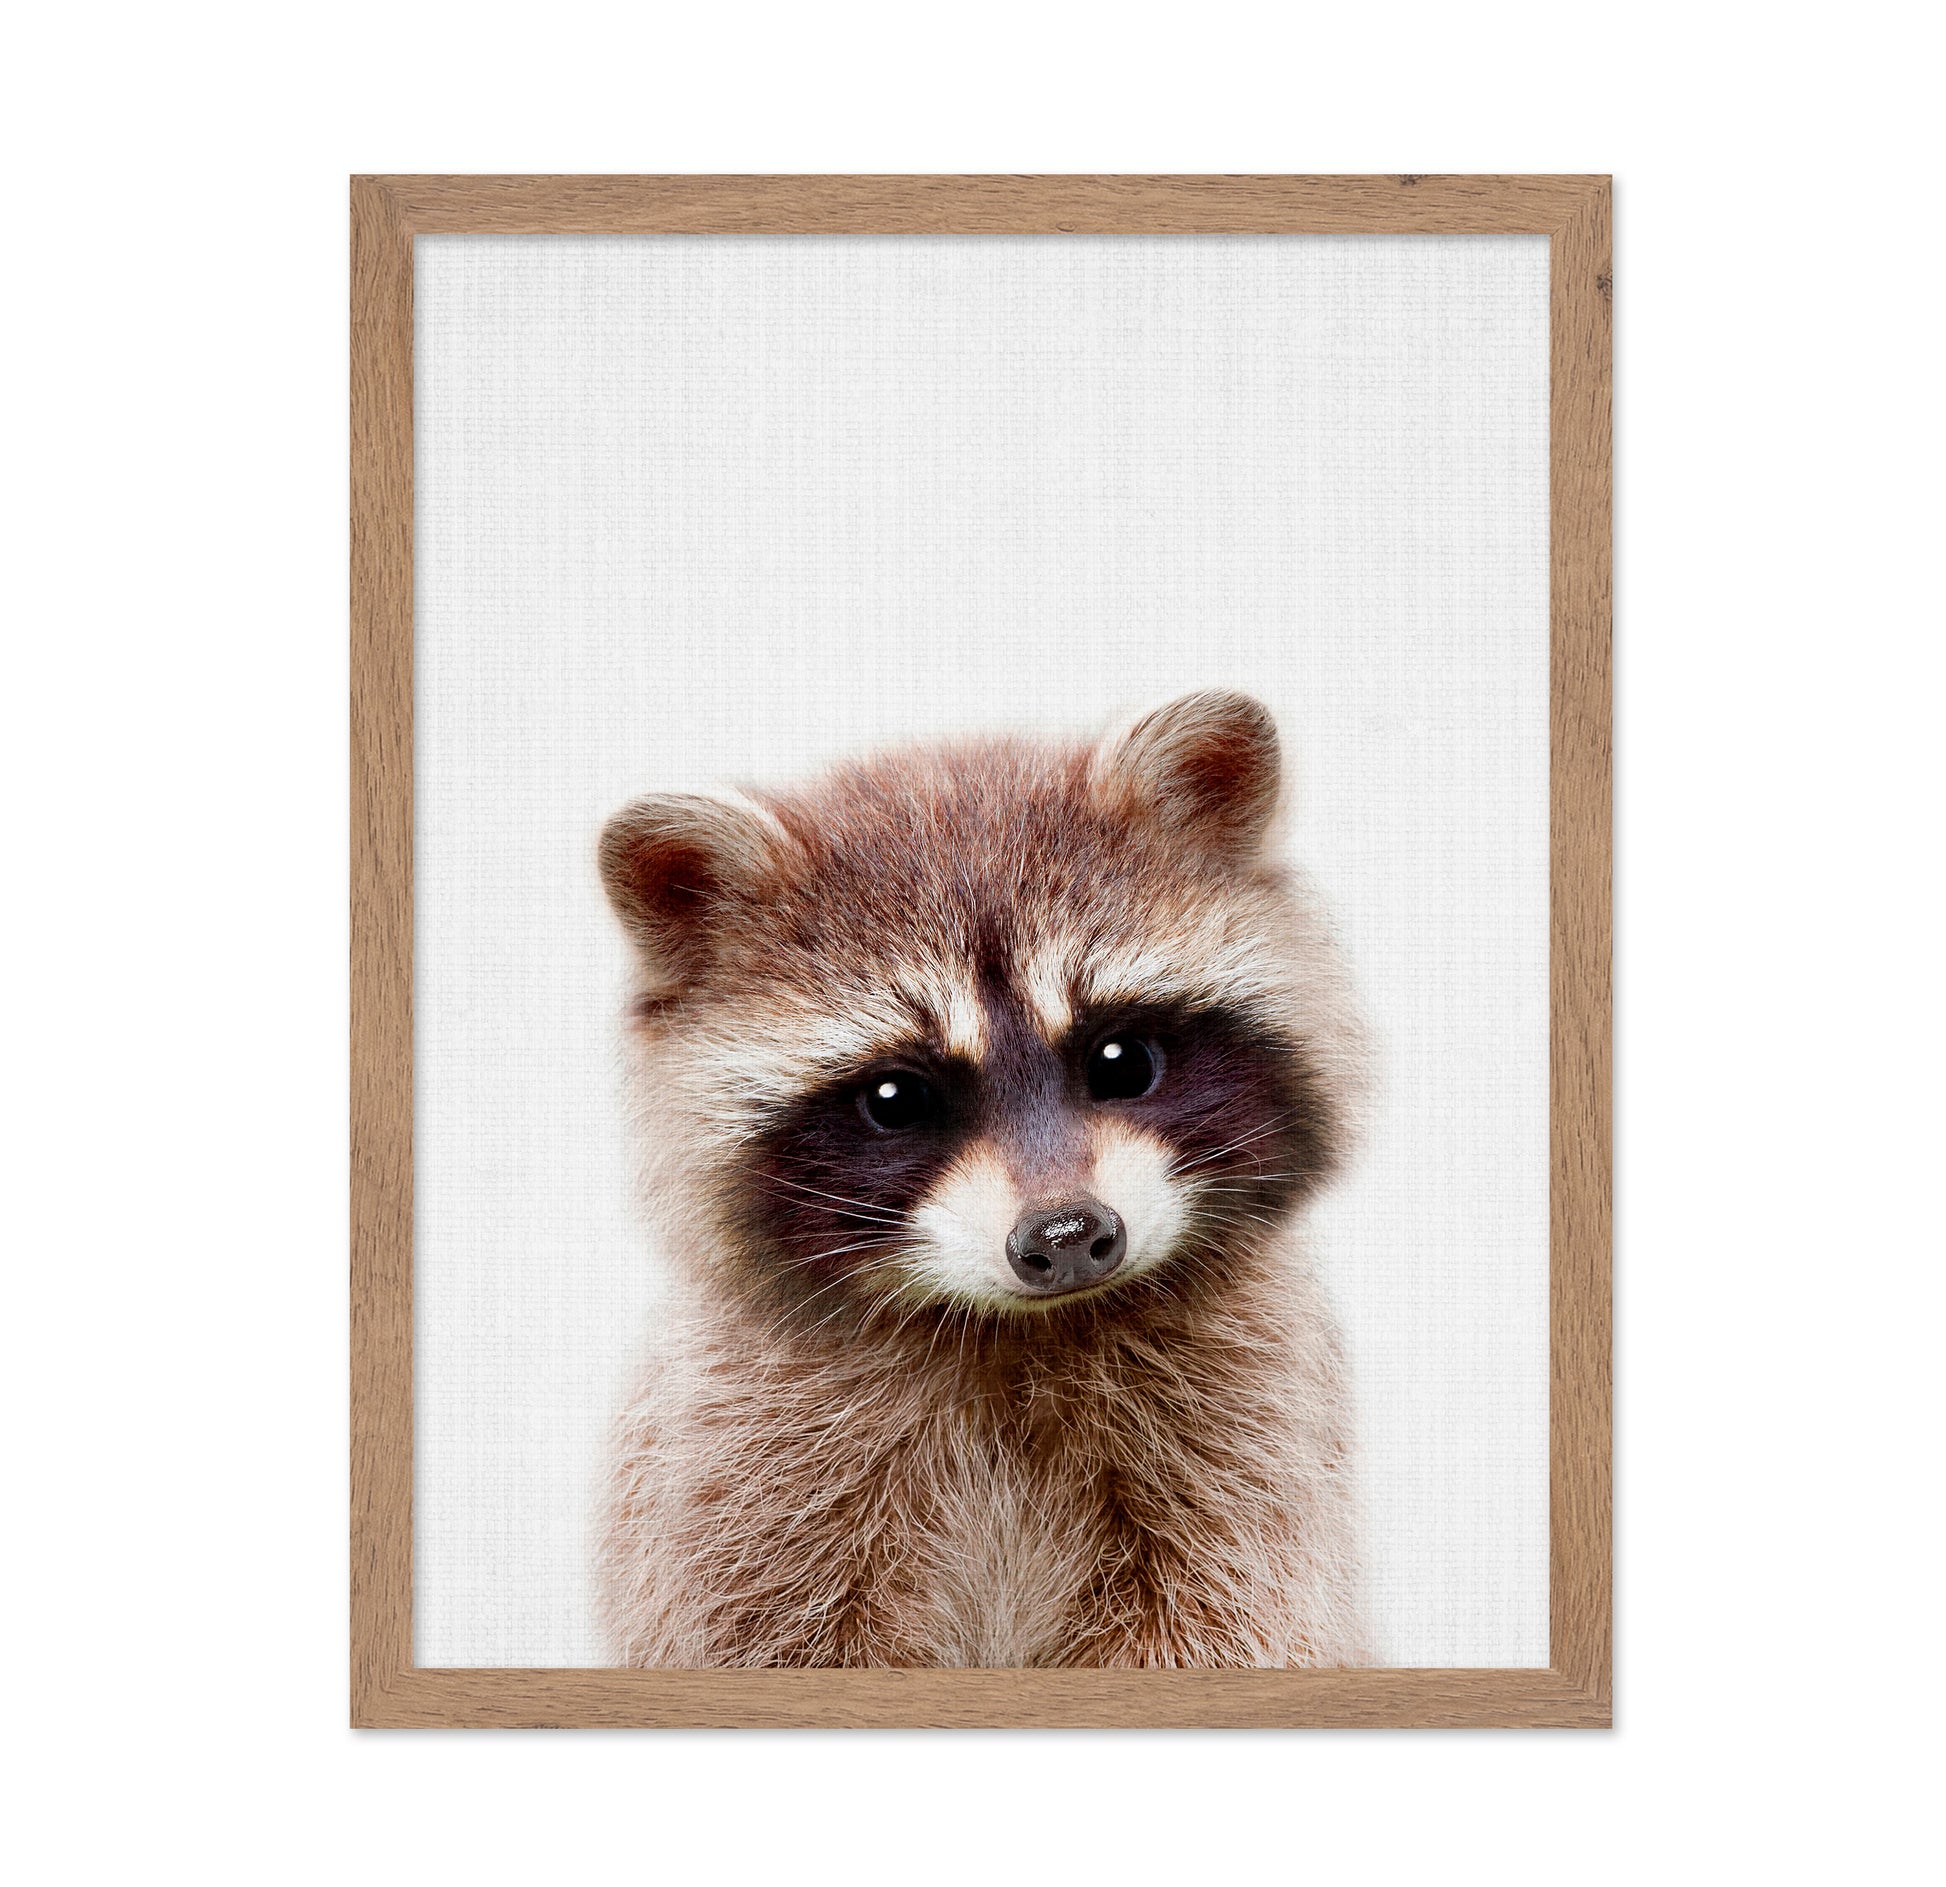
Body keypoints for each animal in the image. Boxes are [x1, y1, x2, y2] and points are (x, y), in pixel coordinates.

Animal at [596, 691, 1371, 1668]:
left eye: (1122, 1059)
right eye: (896, 1098)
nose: (1067, 1236)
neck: (1016, 1331)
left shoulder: (1250, 1439)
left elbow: (1228, 1617)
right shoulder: (736, 1468)